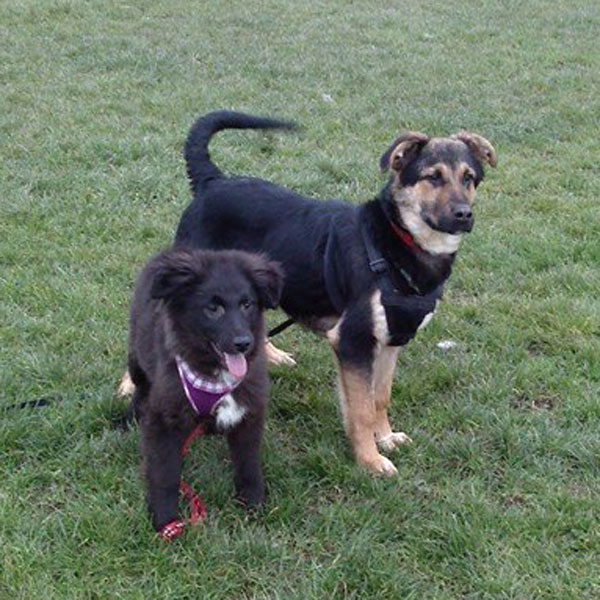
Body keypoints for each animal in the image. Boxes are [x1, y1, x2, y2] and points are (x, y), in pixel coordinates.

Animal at [126, 246, 284, 532]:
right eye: (213, 308)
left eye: (247, 304)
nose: (244, 343)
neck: (215, 375)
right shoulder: (163, 419)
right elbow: (165, 473)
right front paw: (166, 519)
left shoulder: (249, 413)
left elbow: (249, 465)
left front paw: (253, 504)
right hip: (136, 356)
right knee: (140, 389)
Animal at [161, 111, 496, 478]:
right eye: (433, 177)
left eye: (469, 178)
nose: (464, 215)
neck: (397, 242)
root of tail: (212, 181)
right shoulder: (353, 341)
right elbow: (361, 409)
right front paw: (369, 461)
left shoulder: (392, 340)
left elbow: (380, 398)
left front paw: (385, 438)